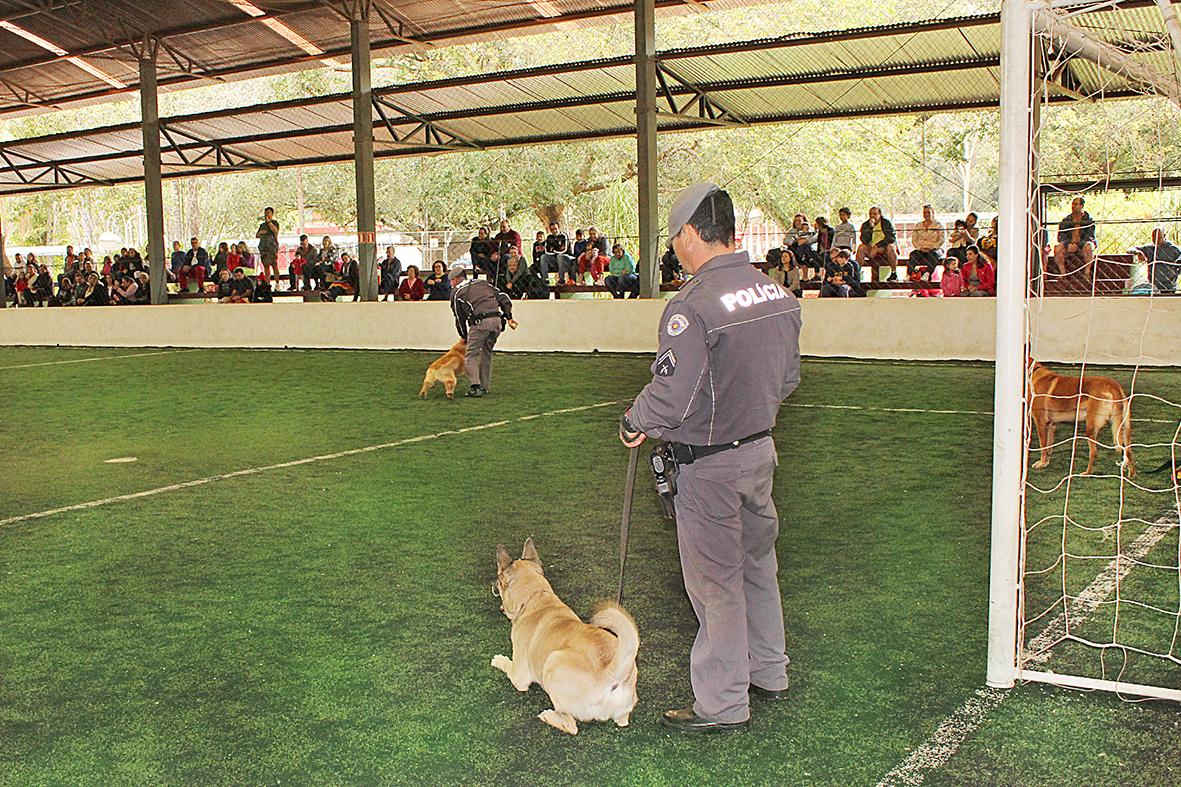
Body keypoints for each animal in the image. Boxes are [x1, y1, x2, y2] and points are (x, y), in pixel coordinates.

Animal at [488, 536, 637, 732]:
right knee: (622, 720)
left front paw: (498, 660)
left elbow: (507, 665)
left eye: (498, 579)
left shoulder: (519, 676)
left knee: (570, 725)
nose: (492, 586)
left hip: (553, 662)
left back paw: (548, 716)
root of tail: (611, 674)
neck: (536, 596)